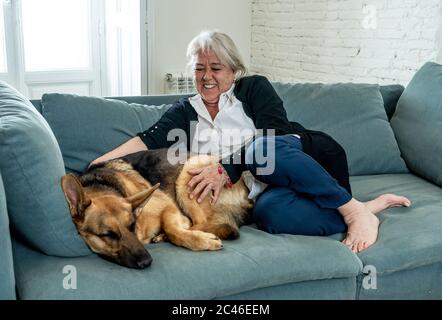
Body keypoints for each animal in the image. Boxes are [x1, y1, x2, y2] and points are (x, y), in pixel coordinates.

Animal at [60, 149, 252, 268]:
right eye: (108, 235)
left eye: (131, 225)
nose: (147, 262)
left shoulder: (168, 205)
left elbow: (173, 228)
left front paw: (202, 240)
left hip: (190, 171)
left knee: (205, 223)